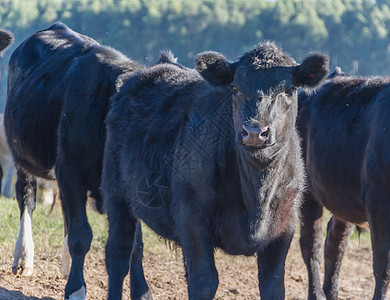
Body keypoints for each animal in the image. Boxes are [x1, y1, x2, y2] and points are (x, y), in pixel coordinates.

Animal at [4, 22, 151, 300]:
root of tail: (56, 27)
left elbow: (136, 247)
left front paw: (142, 292)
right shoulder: (70, 170)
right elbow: (81, 235)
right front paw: (75, 289)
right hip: (23, 157)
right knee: (26, 199)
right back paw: (23, 256)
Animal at [102, 42, 328, 300]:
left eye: (289, 90)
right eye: (235, 88)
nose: (254, 132)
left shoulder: (284, 227)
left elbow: (273, 285)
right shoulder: (193, 221)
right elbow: (204, 282)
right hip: (116, 194)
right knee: (118, 256)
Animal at [300, 68, 390, 300]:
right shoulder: (379, 202)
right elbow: (383, 265)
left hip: (343, 199)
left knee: (334, 243)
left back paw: (331, 292)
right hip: (306, 192)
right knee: (311, 245)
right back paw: (317, 294)